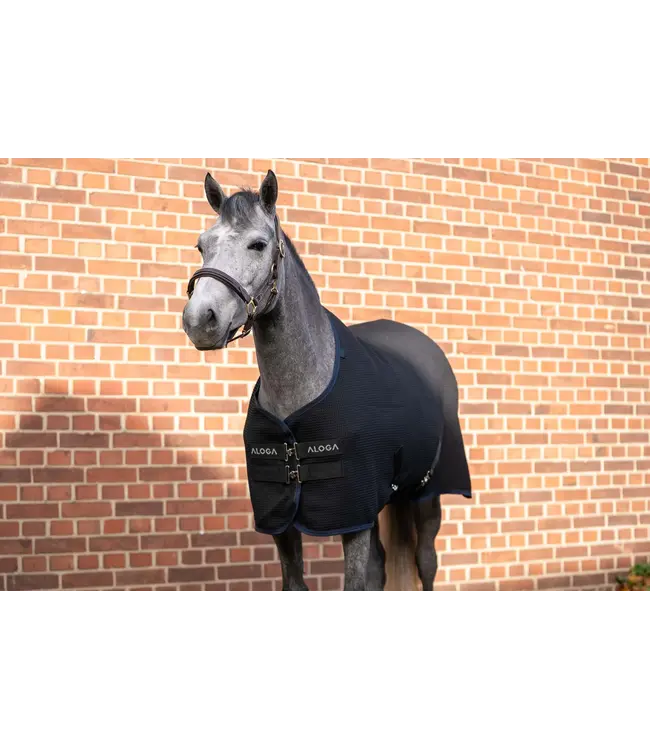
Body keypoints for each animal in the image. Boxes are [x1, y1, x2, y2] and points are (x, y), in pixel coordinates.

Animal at [182, 170, 472, 592]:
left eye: (258, 244)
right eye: (202, 245)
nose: (199, 320)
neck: (301, 389)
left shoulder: (350, 514)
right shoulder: (285, 520)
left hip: (425, 495)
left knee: (426, 562)